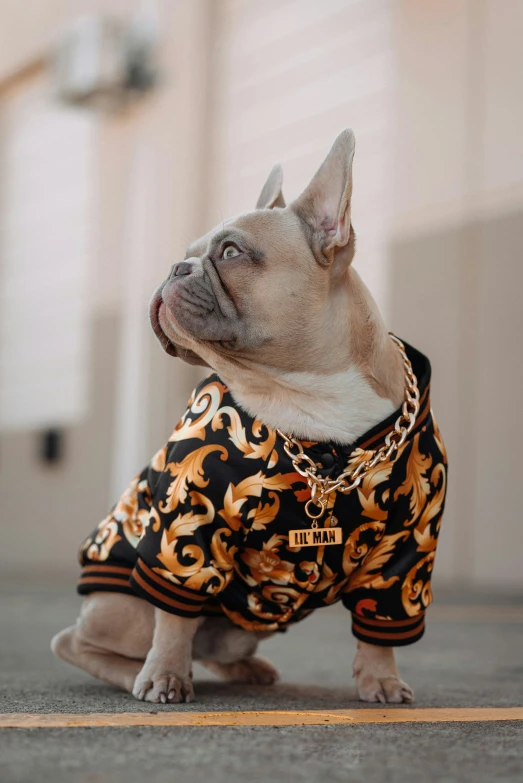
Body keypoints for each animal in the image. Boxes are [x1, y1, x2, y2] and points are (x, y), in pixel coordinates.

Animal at [51, 129, 448, 704]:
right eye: (187, 255)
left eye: (231, 252)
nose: (175, 268)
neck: (306, 396)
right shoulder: (185, 529)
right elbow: (174, 614)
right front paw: (164, 677)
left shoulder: (407, 552)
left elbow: (381, 626)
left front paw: (383, 680)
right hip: (126, 606)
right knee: (79, 641)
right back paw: (143, 672)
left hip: (239, 629)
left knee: (213, 647)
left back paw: (245, 669)